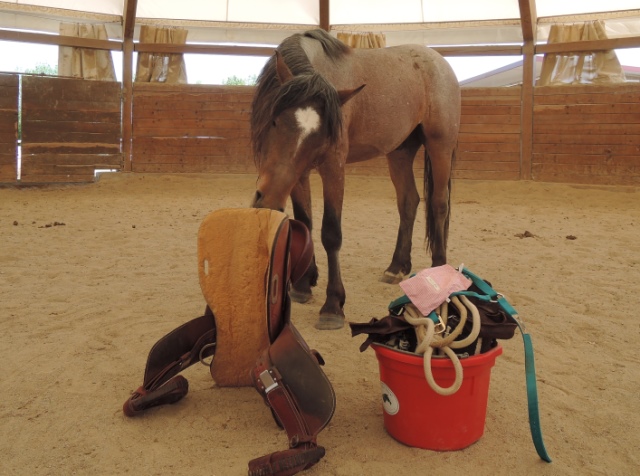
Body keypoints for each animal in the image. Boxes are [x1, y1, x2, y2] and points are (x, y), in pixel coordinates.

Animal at [250, 27, 460, 330]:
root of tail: (440, 62)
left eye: (321, 137)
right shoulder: (298, 173)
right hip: (400, 151)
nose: (267, 200)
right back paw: (397, 267)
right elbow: (304, 222)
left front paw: (333, 305)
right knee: (408, 202)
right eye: (275, 120)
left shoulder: (333, 167)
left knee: (439, 204)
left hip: (440, 145)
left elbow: (330, 233)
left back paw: (438, 270)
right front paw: (303, 284)